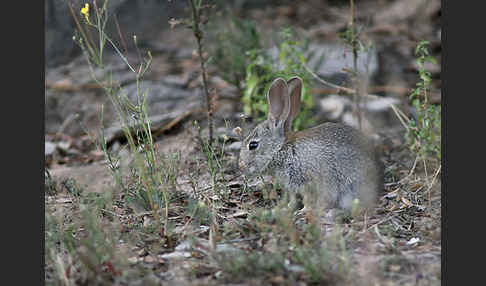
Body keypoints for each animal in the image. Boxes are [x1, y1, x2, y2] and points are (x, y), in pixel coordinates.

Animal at [239, 77, 384, 216]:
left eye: (253, 145)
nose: (240, 166)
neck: (282, 149)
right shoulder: (292, 187)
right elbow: (293, 200)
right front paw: (285, 209)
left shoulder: (308, 182)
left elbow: (308, 200)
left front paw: (303, 211)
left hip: (349, 189)